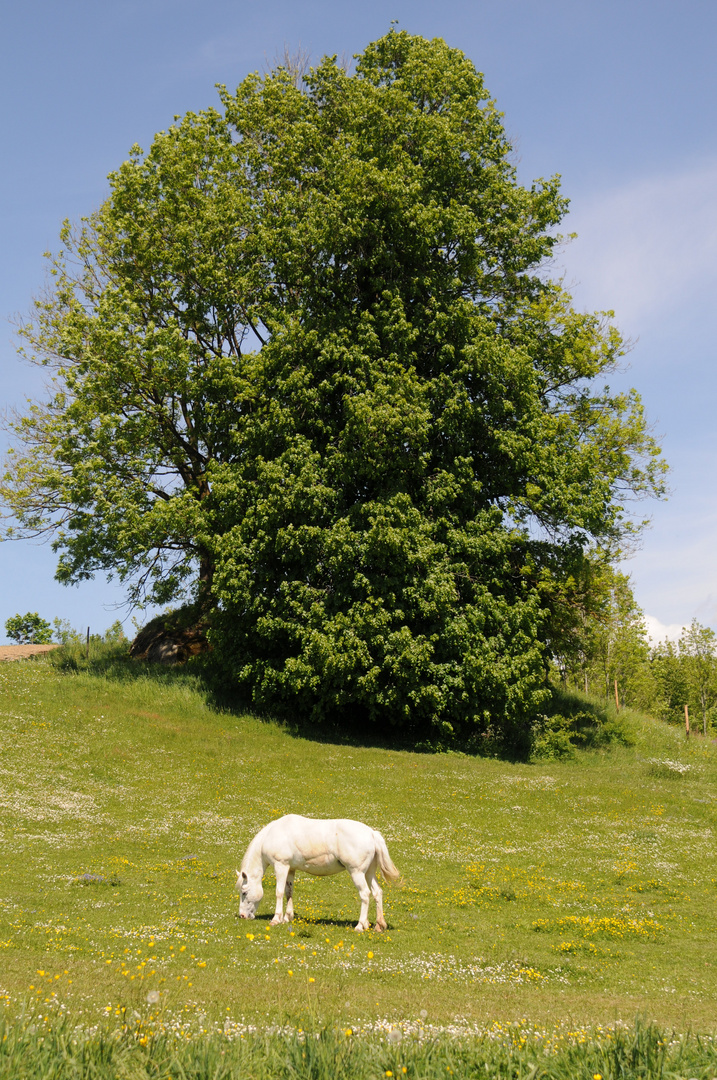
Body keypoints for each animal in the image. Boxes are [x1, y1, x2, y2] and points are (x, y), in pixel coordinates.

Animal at [237, 812, 399, 933]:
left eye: (244, 892)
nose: (242, 915)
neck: (272, 834)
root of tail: (372, 833)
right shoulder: (290, 869)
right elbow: (289, 892)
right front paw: (287, 917)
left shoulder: (281, 866)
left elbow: (279, 892)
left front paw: (276, 919)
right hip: (369, 873)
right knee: (377, 892)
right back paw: (379, 925)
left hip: (357, 873)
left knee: (365, 894)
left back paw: (360, 925)